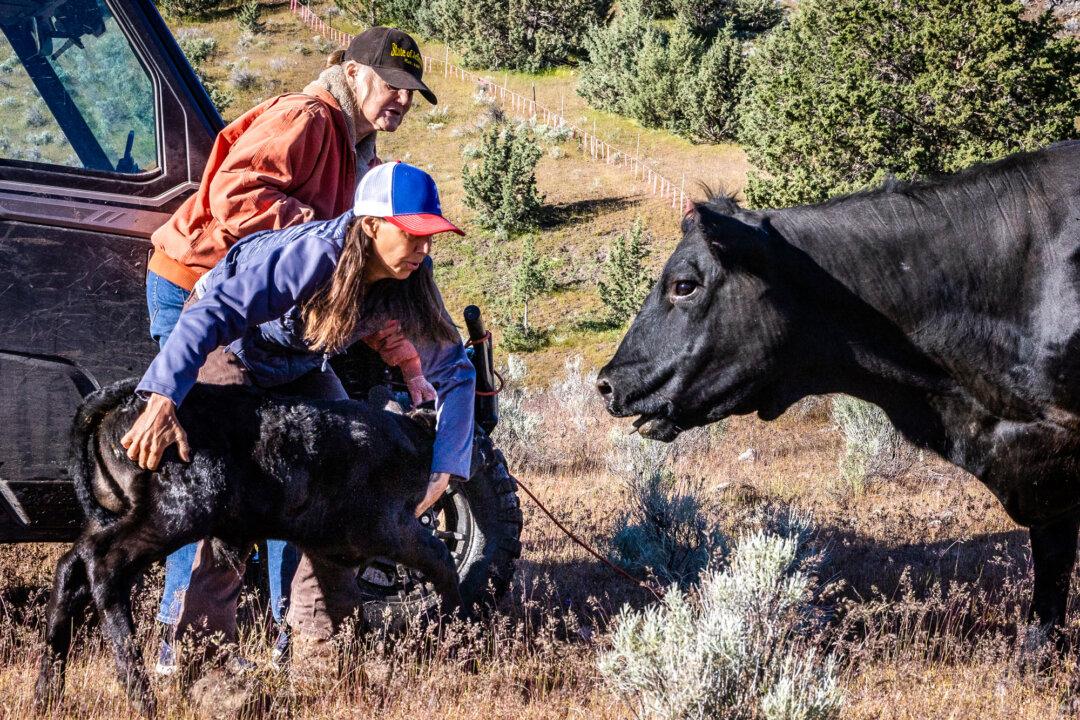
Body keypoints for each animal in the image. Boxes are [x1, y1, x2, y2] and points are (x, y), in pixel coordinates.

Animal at [34, 378, 465, 715]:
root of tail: (129, 397)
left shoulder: (332, 550)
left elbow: (336, 609)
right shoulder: (392, 527)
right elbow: (442, 562)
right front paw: (458, 636)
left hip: (113, 515)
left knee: (71, 567)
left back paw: (47, 693)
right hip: (173, 517)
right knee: (104, 565)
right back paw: (141, 697)